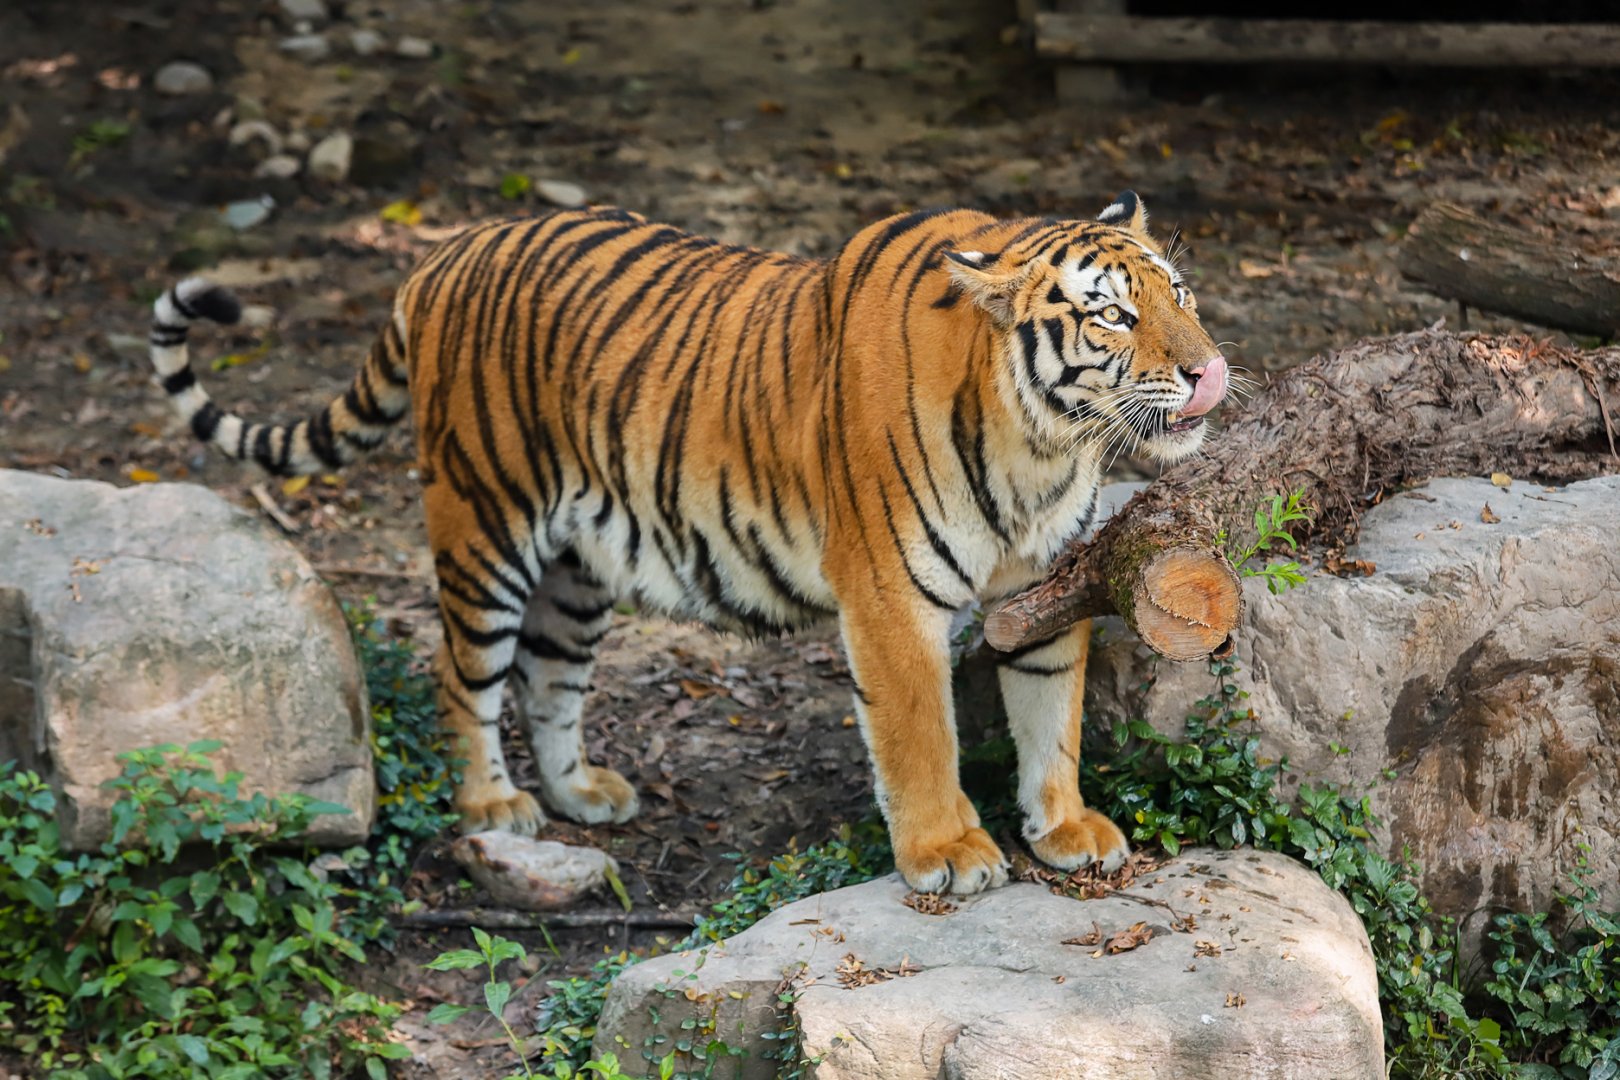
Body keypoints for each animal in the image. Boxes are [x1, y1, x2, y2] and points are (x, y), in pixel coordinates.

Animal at [147, 190, 1228, 895]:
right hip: (483, 525)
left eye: (1183, 294)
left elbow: (1052, 713)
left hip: (579, 566)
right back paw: (494, 807)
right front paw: (946, 854)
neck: (1045, 444)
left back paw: (582, 793)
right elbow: (922, 734)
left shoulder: (1043, 585)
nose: (1211, 372)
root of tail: (444, 251)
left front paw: (1065, 828)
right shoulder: (889, 596)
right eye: (1112, 314)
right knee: (463, 675)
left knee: (548, 678)